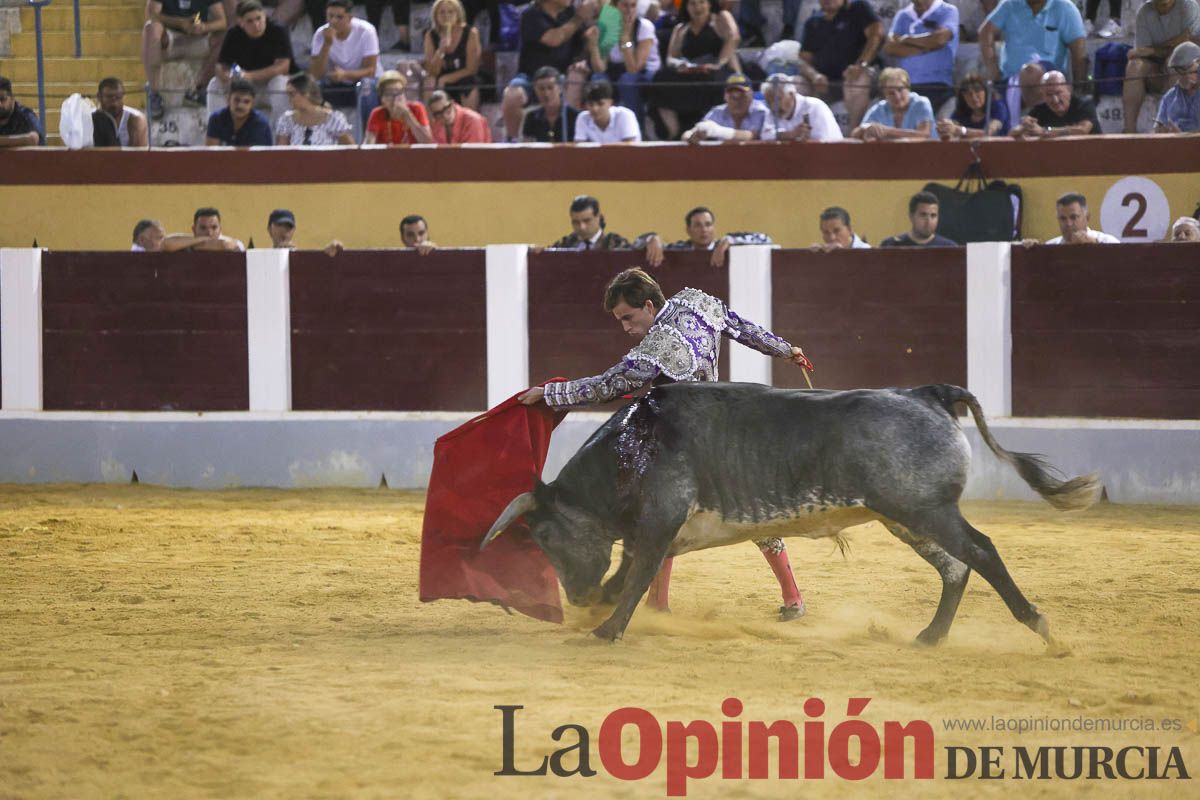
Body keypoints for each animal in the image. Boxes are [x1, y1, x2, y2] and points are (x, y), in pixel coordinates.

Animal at [477, 383, 1099, 642]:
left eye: (545, 536)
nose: (574, 598)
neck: (633, 446)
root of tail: (927, 393)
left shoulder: (657, 524)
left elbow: (633, 579)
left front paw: (605, 630)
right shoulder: (657, 533)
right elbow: (628, 574)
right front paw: (602, 613)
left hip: (924, 509)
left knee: (981, 552)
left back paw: (1040, 627)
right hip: (906, 516)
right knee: (956, 567)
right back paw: (929, 637)